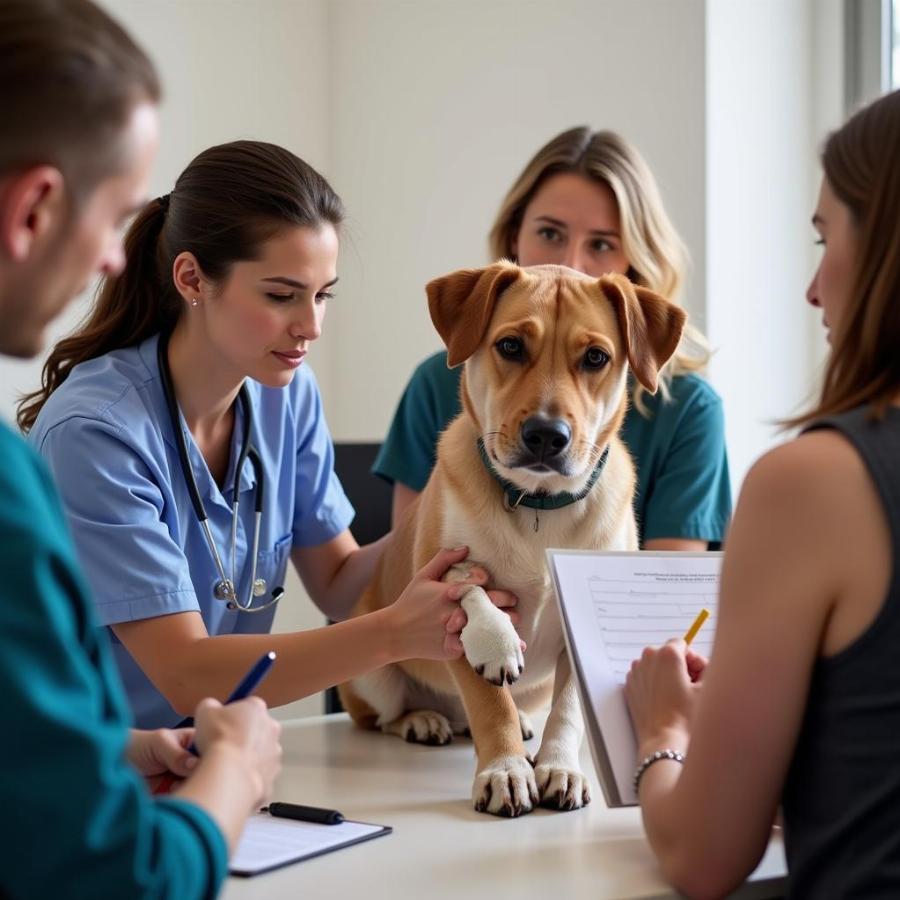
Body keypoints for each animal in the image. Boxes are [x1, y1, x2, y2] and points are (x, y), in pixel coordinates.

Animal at [342, 260, 684, 816]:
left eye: (596, 357)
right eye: (510, 346)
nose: (547, 435)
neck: (538, 505)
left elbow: (569, 710)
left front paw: (560, 767)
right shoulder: (440, 574)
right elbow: (472, 605)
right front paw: (504, 768)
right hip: (373, 670)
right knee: (386, 716)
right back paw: (422, 720)